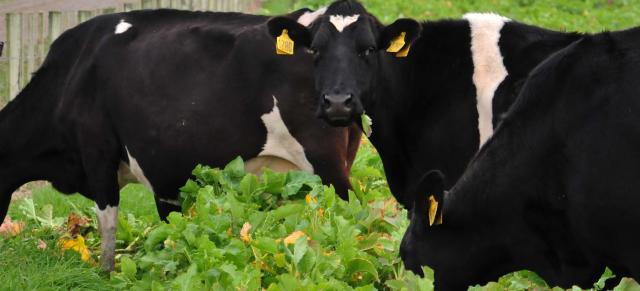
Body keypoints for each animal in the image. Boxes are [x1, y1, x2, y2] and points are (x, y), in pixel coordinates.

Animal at [0, 8, 360, 272]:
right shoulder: (167, 176)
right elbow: (171, 229)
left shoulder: (98, 153)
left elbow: (108, 222)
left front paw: (106, 273)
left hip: (327, 164)